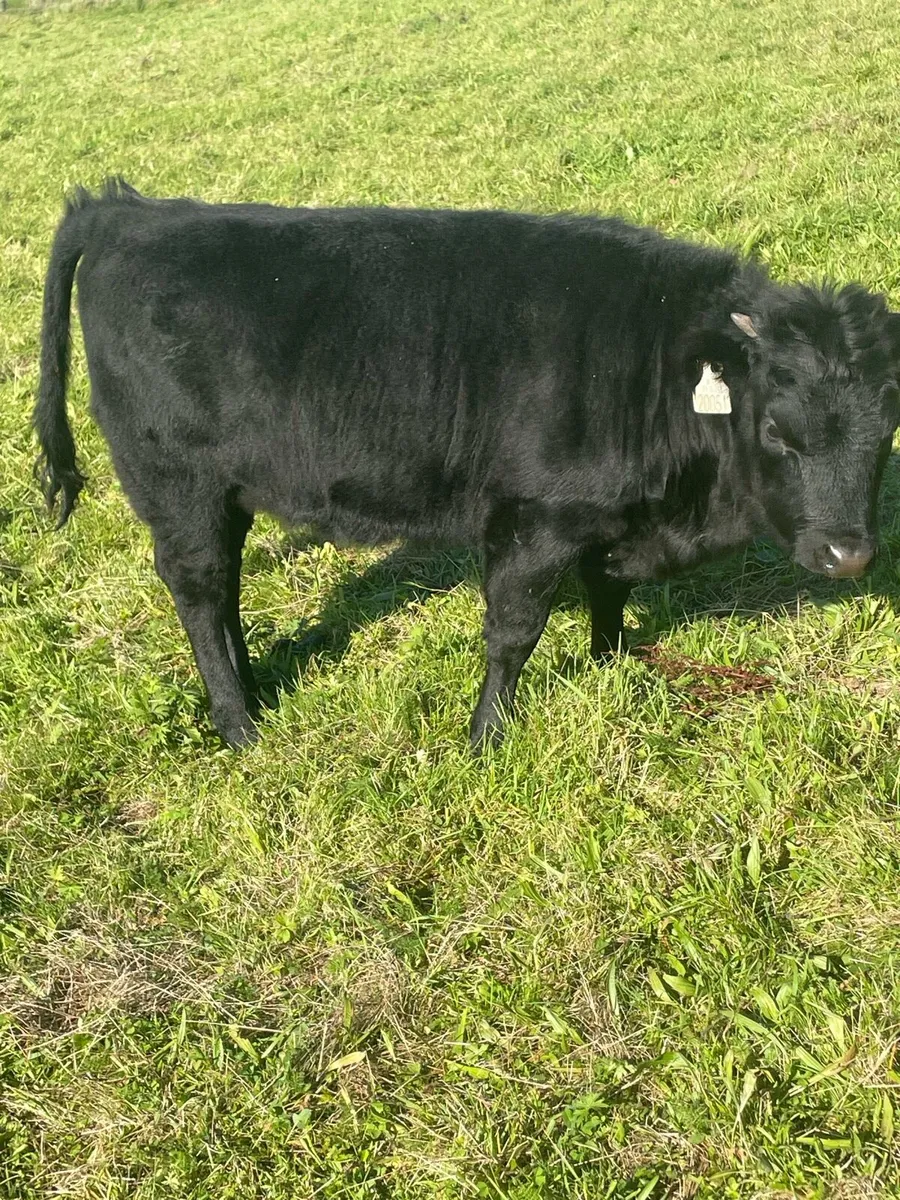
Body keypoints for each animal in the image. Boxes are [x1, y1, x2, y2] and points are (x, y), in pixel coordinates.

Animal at [34, 179, 900, 750]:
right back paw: (239, 723)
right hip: (178, 486)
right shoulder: (535, 518)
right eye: (778, 431)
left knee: (227, 590)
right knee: (202, 593)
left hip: (227, 492)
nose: (848, 554)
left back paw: (254, 690)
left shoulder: (603, 514)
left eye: (888, 427)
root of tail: (125, 210)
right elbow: (512, 632)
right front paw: (487, 737)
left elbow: (607, 588)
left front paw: (612, 663)